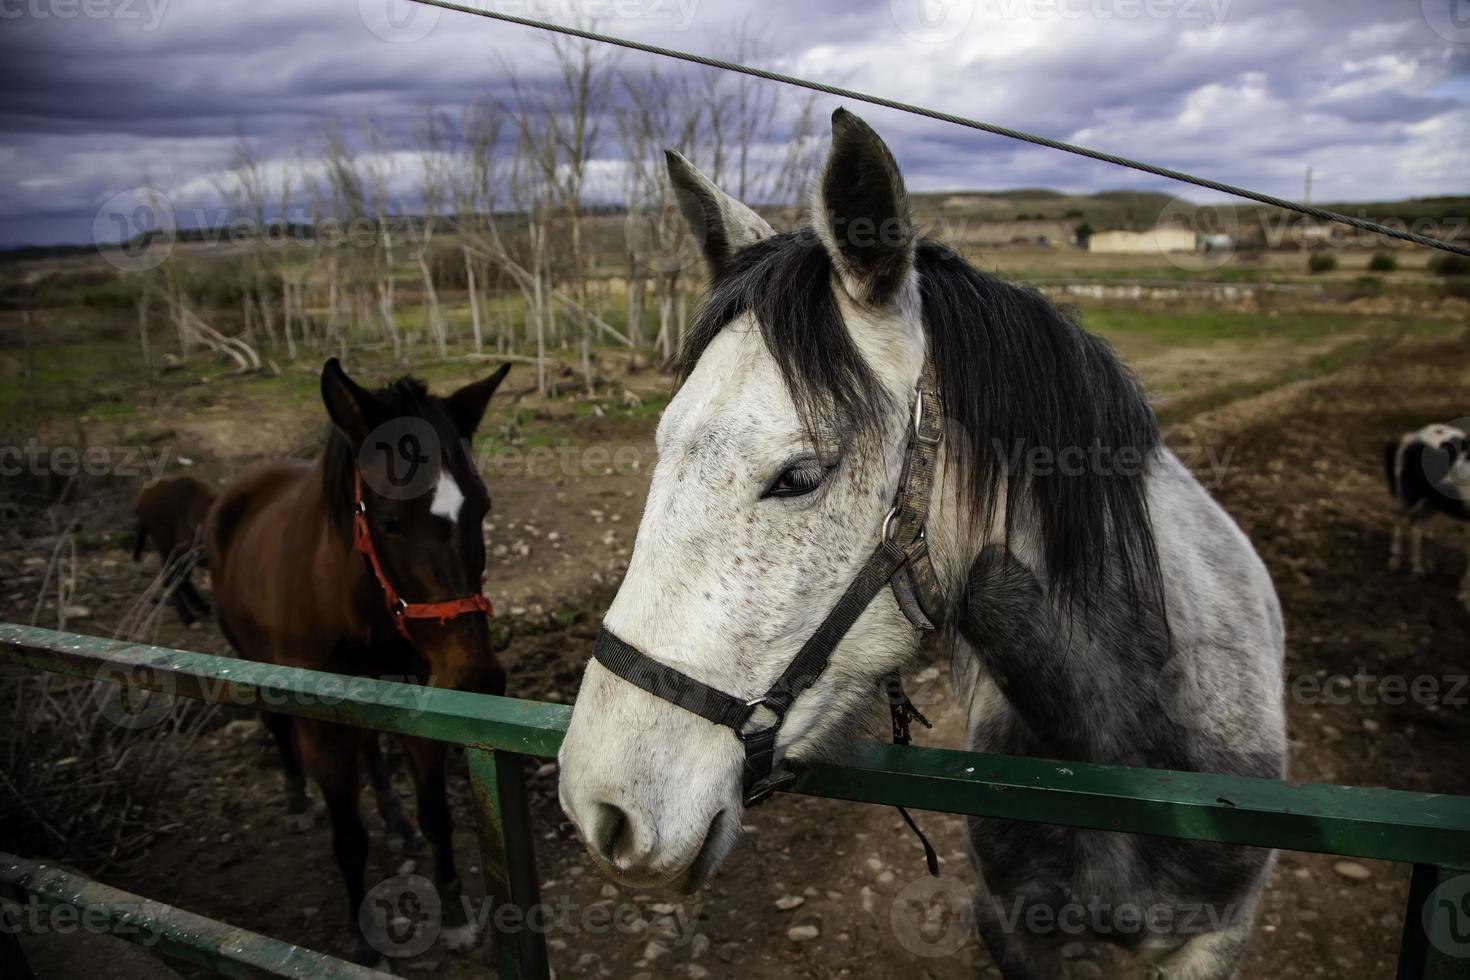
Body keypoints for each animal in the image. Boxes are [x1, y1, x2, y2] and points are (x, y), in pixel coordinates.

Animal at [158, 358, 514, 963]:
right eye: (391, 522)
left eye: (482, 508)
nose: (477, 677)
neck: (353, 603)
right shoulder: (320, 727)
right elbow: (348, 837)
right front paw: (364, 943)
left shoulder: (418, 699)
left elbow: (436, 815)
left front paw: (454, 914)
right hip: (251, 661)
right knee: (276, 725)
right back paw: (298, 798)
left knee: (371, 746)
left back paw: (394, 820)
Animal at [555, 110, 1281, 975]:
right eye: (661, 445)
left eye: (799, 476)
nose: (601, 807)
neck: (1128, 758)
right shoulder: (1011, 924)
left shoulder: (1218, 936)